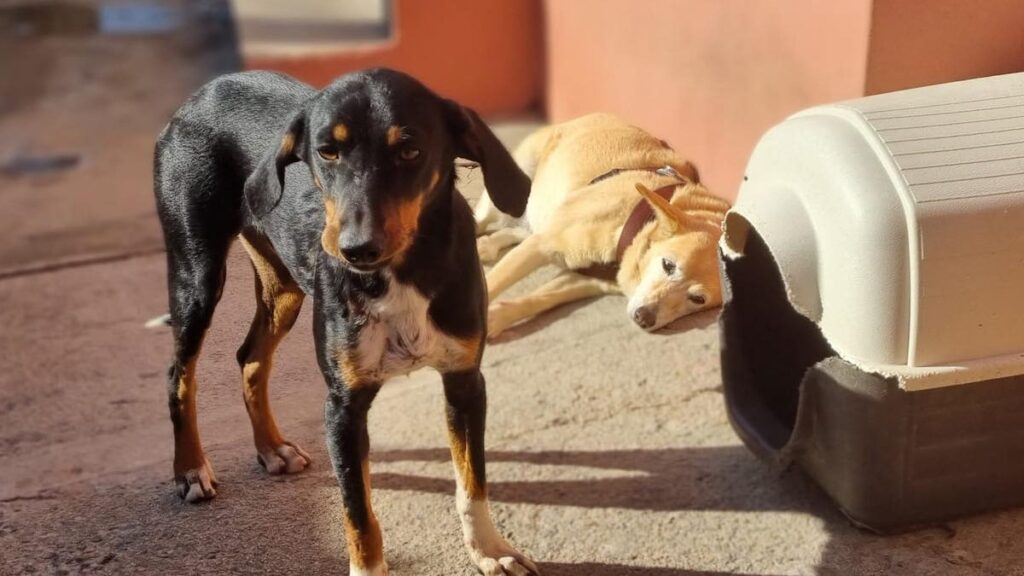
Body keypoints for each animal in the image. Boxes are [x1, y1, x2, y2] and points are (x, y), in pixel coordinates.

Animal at [155, 68, 540, 573]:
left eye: (410, 150)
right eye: (326, 151)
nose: (356, 249)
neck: (400, 272)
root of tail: (201, 93)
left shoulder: (465, 382)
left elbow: (472, 482)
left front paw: (489, 550)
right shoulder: (343, 406)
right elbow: (358, 511)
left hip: (284, 291)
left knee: (250, 358)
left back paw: (271, 448)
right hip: (196, 277)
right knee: (179, 374)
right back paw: (190, 469)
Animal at [475, 112, 733, 336]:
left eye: (698, 299)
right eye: (668, 265)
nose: (644, 318)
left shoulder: (585, 278)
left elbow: (541, 298)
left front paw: (495, 318)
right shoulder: (542, 245)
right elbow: (493, 283)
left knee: (521, 229)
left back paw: (486, 246)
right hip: (510, 190)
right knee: (484, 218)